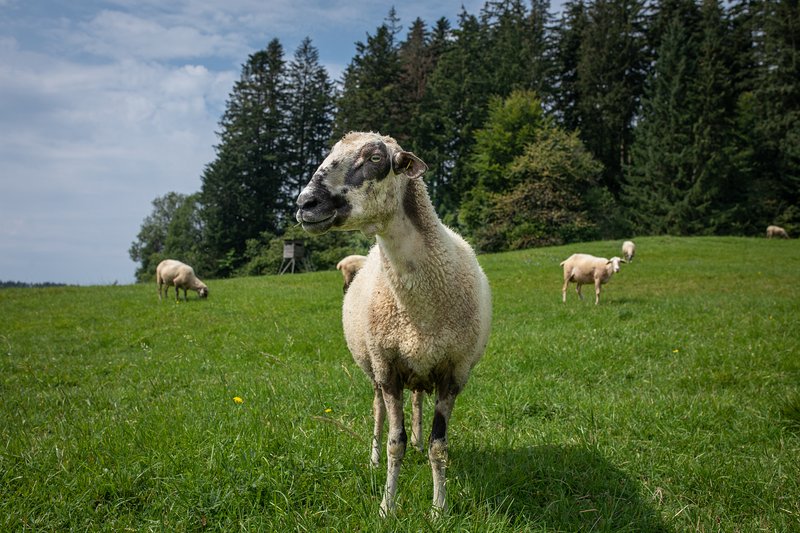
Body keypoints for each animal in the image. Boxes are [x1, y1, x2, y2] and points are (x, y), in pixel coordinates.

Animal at [296, 131, 494, 512]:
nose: (304, 203)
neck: (419, 309)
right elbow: (394, 443)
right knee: (377, 412)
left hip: (419, 366)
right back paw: (373, 458)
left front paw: (438, 508)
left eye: (375, 158)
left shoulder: (454, 373)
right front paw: (387, 506)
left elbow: (438, 447)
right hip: (375, 368)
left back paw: (417, 440)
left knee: (417, 402)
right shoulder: (387, 369)